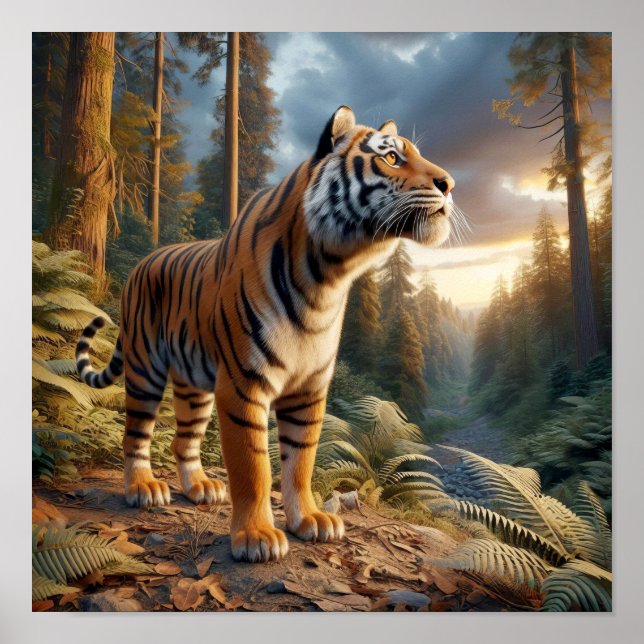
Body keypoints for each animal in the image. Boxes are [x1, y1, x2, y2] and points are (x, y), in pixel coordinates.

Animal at [76, 106, 455, 563]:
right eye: (392, 158)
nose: (449, 184)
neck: (328, 277)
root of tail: (141, 264)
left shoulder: (309, 391)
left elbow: (300, 462)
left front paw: (310, 519)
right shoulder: (242, 386)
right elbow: (254, 466)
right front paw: (256, 536)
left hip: (193, 385)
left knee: (183, 441)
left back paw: (200, 487)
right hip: (146, 368)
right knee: (136, 433)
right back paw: (142, 488)